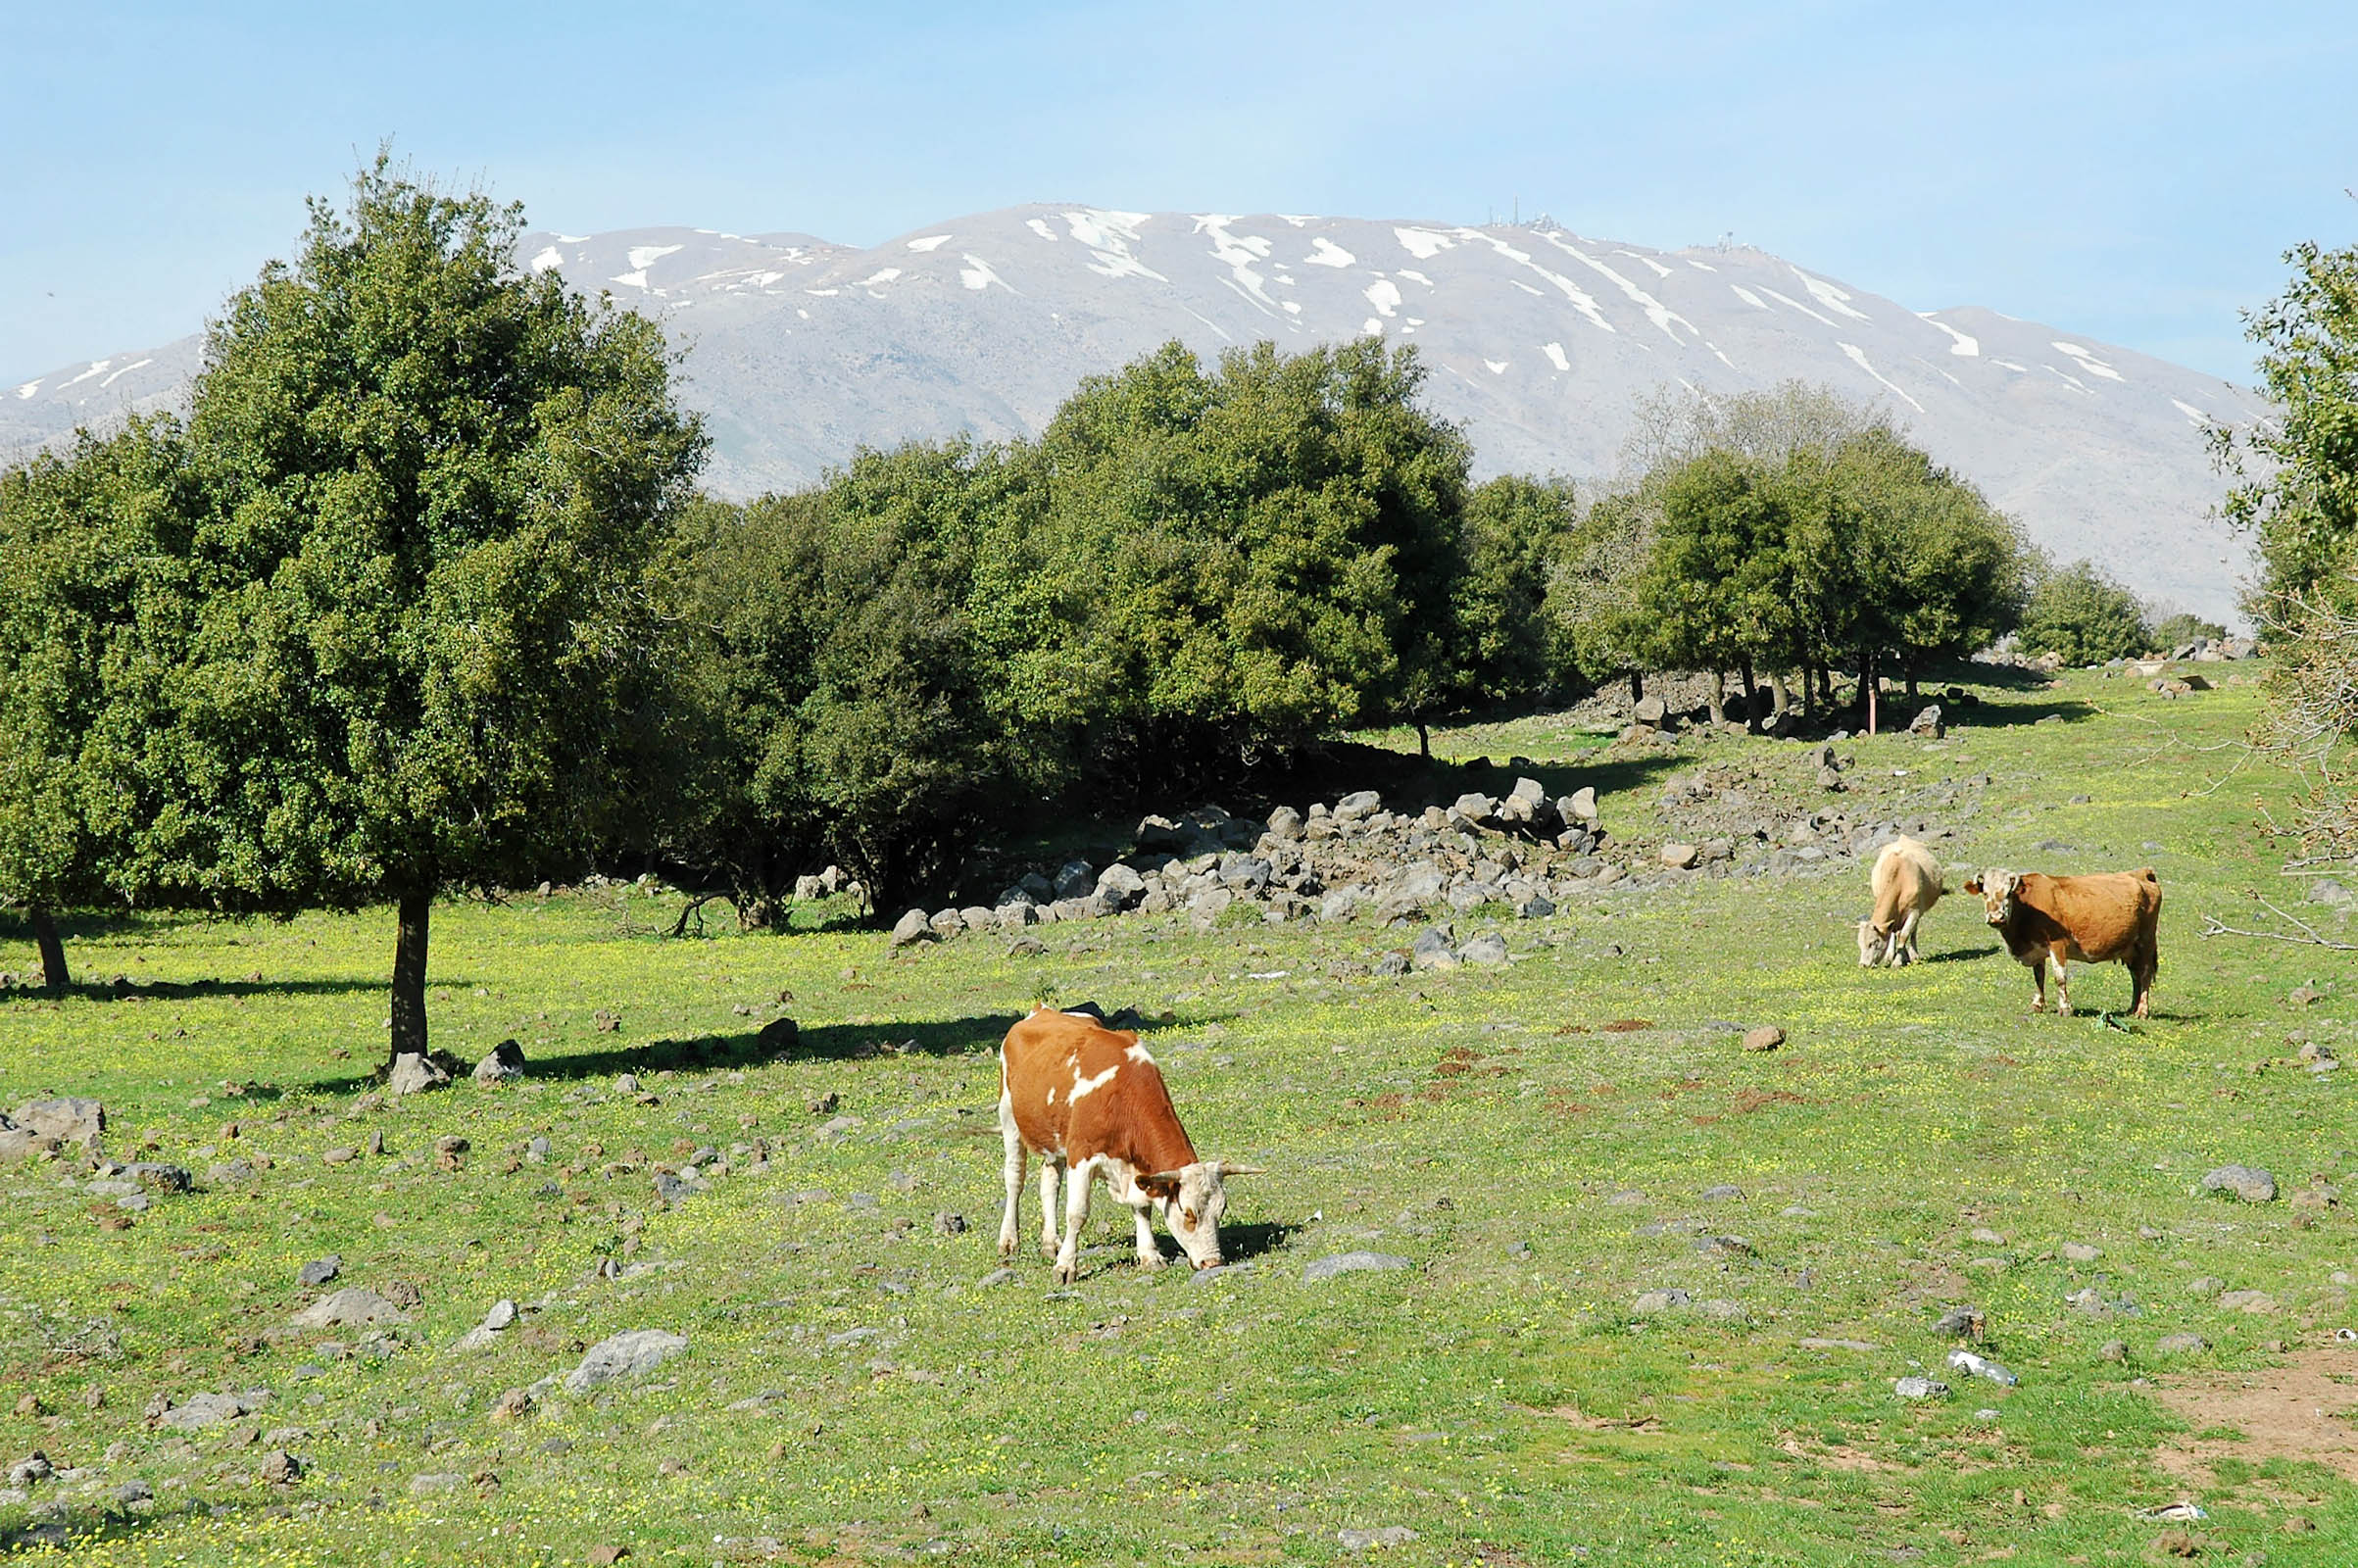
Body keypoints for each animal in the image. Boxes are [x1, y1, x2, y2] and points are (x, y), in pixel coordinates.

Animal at [995, 1008, 1263, 1282]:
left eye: (1222, 1210)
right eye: (1188, 1213)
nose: (1213, 1262)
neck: (1121, 1096)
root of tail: (1041, 1010)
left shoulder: (1136, 1166)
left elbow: (1142, 1207)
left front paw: (1150, 1256)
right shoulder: (1081, 1155)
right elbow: (1077, 1213)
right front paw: (1066, 1267)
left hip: (1054, 1139)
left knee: (1049, 1183)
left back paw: (1051, 1244)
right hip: (1009, 1119)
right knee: (1014, 1179)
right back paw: (1009, 1241)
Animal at [1961, 867, 2159, 1013]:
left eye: (2008, 893)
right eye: (1985, 893)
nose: (1996, 918)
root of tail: (2141, 873)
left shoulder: (2057, 943)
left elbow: (2060, 977)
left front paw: (2065, 1008)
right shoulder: (2037, 948)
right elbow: (2039, 977)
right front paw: (2037, 1005)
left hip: (2146, 941)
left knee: (2145, 973)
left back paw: (2142, 1011)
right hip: (2131, 948)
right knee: (2135, 976)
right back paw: (2132, 1009)